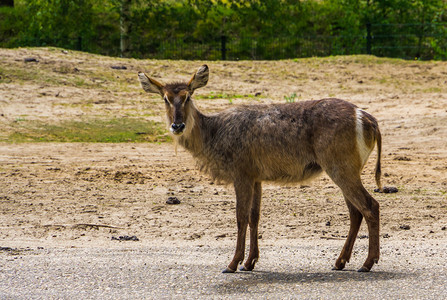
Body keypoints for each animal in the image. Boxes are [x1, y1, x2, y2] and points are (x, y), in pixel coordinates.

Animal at [139, 64, 384, 274]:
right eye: (165, 98)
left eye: (187, 96)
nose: (177, 125)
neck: (213, 136)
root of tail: (369, 119)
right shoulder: (256, 176)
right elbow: (254, 216)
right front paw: (250, 262)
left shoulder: (241, 172)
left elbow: (240, 216)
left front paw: (232, 264)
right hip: (343, 168)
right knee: (355, 212)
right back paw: (340, 262)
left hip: (341, 166)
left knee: (370, 205)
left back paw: (367, 263)